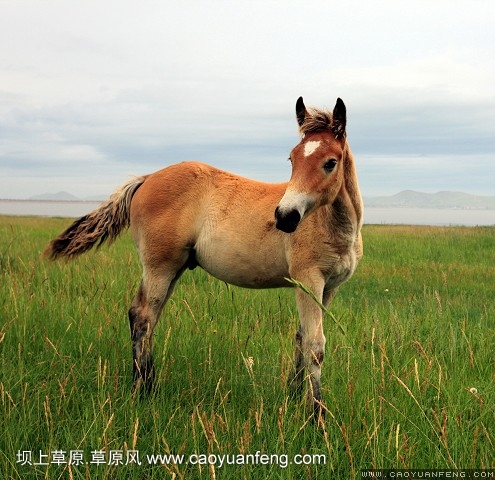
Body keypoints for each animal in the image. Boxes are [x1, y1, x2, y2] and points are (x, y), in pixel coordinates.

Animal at [45, 96, 364, 420]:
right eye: (292, 159)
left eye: (330, 162)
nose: (285, 217)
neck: (331, 224)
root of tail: (146, 179)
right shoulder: (308, 280)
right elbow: (315, 345)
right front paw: (316, 416)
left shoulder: (327, 288)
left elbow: (301, 339)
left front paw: (293, 397)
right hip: (159, 267)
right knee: (143, 317)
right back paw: (142, 391)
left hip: (174, 269)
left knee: (147, 316)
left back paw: (148, 385)